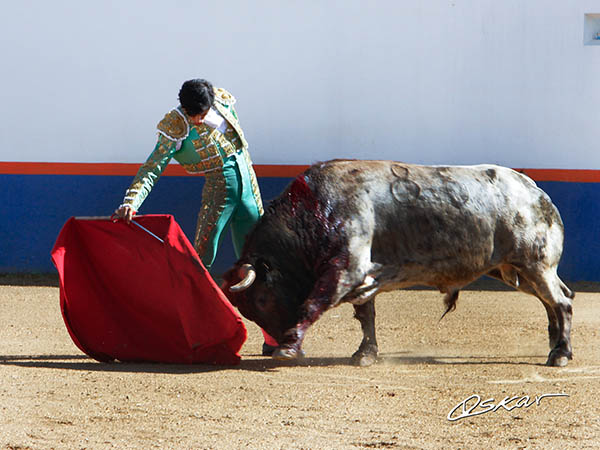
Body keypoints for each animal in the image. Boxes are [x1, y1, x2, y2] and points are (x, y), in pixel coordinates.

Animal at [223, 160, 576, 368]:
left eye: (262, 298)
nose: (277, 339)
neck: (315, 210)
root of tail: (536, 193)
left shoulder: (346, 267)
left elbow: (312, 303)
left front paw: (288, 348)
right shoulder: (360, 276)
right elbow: (366, 316)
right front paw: (365, 354)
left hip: (535, 263)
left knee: (562, 302)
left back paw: (560, 354)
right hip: (515, 270)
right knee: (555, 299)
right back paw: (555, 344)